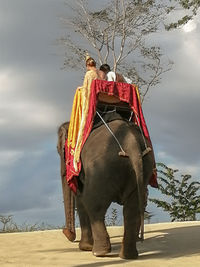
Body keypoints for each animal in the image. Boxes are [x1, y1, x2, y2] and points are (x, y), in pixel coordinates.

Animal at [57, 117, 154, 260]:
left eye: (58, 150)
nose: (66, 232)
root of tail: (132, 144)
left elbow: (80, 199)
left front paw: (84, 248)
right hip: (143, 168)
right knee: (132, 209)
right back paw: (127, 256)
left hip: (101, 168)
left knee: (93, 205)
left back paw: (99, 252)